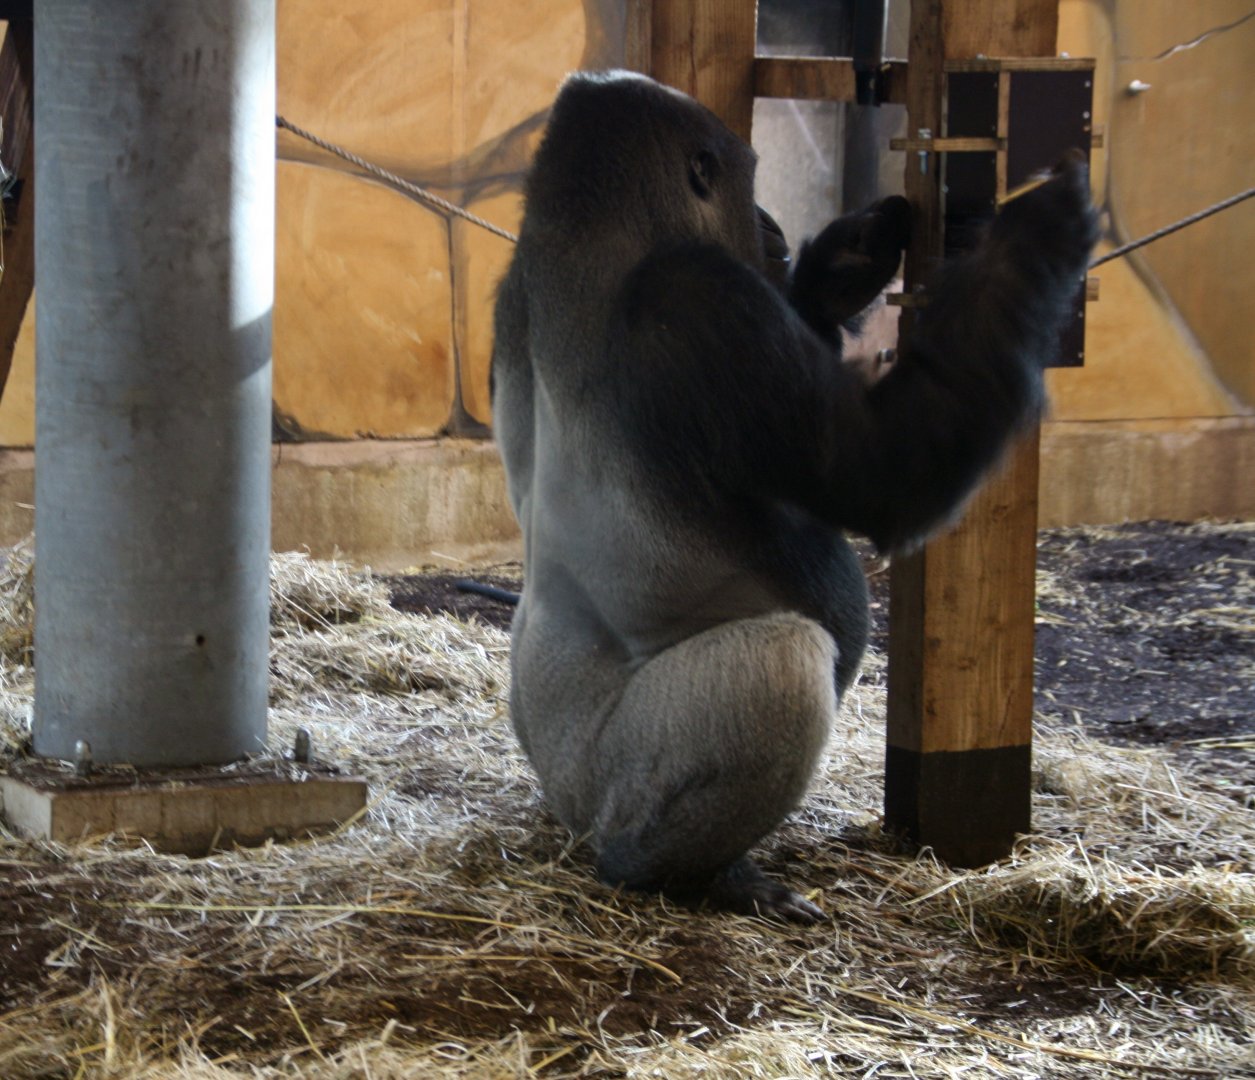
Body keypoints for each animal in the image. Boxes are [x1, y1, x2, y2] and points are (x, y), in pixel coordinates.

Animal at [490, 70, 1097, 921]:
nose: (772, 226)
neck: (591, 233)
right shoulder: (703, 293)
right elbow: (884, 475)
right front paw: (1035, 235)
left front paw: (844, 263)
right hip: (599, 779)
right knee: (782, 662)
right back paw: (679, 871)